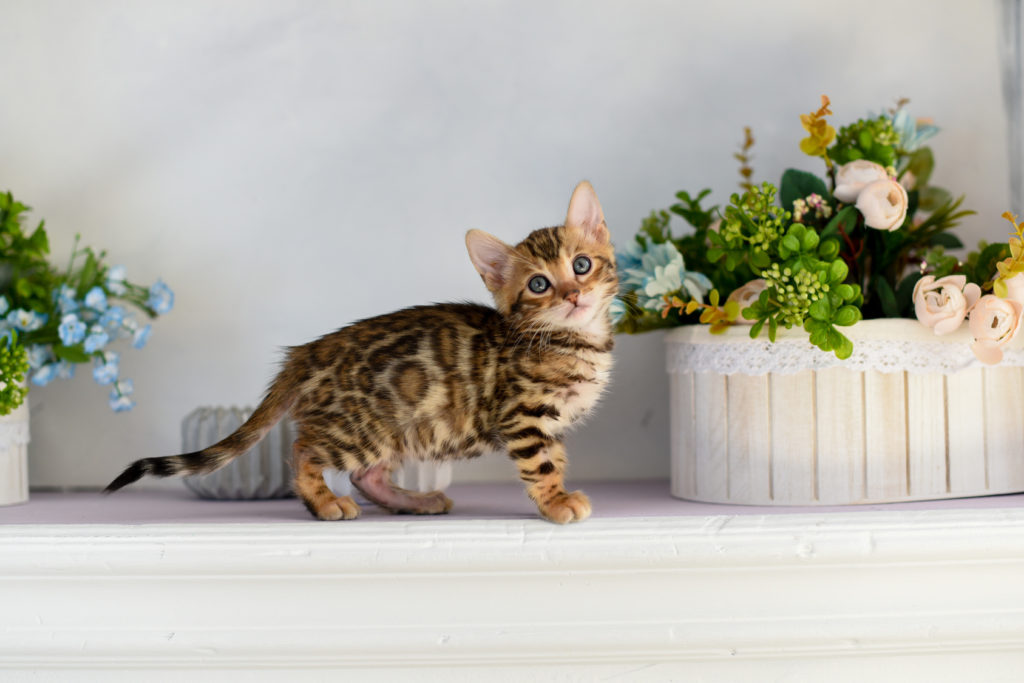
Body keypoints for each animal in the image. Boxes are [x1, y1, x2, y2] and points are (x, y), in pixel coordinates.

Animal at [105, 181, 614, 524]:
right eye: (539, 285)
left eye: (581, 265)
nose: (573, 295)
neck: (573, 340)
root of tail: (306, 352)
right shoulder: (522, 416)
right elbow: (540, 464)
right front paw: (556, 502)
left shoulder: (551, 422)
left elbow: (556, 459)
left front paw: (558, 493)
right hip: (359, 429)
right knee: (304, 449)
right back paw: (324, 502)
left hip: (402, 430)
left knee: (365, 475)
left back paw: (413, 501)